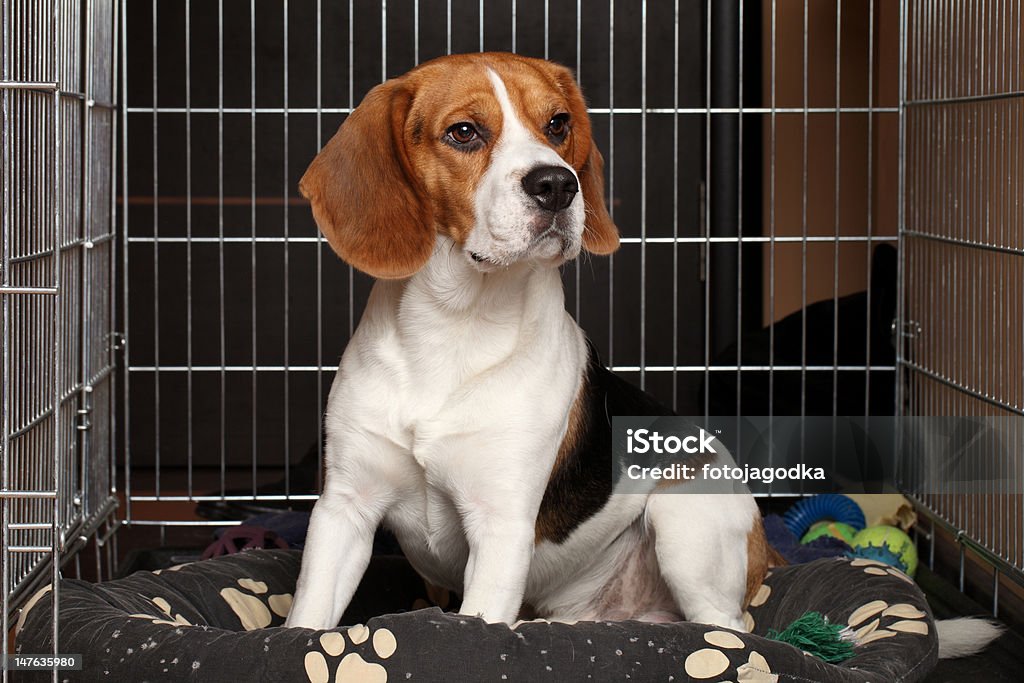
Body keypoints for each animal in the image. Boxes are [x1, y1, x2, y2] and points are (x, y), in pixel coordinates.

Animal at [284, 50, 770, 634]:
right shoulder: (344, 509)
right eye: (464, 132)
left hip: (686, 518)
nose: (558, 184)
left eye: (557, 124)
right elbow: (306, 621)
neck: (455, 325)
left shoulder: (501, 525)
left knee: (728, 627)